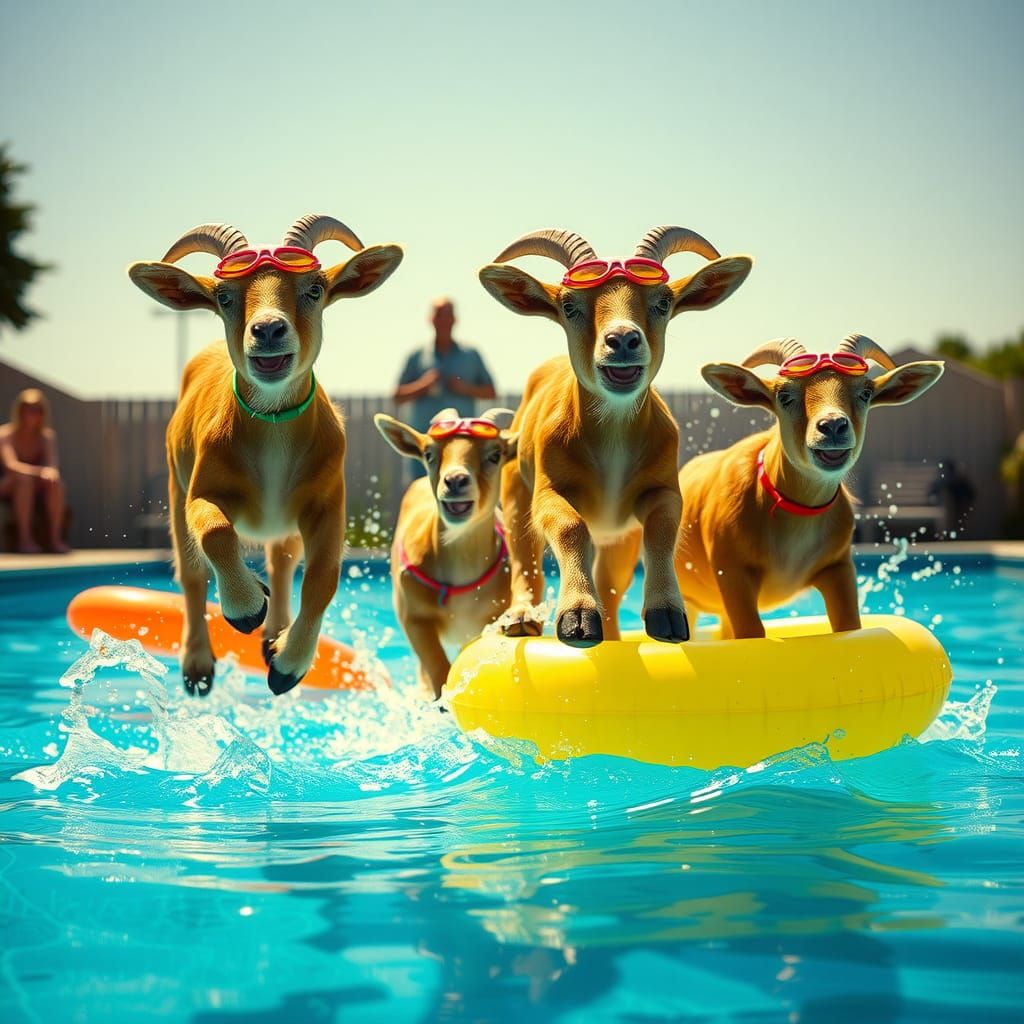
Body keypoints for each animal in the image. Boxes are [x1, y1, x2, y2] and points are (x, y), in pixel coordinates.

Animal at [128, 215, 403, 695]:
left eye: (315, 288)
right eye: (224, 296)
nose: (269, 330)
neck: (273, 426)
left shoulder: (326, 502)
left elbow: (322, 579)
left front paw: (288, 663)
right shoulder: (202, 489)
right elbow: (215, 533)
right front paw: (245, 607)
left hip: (285, 523)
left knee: (281, 562)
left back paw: (274, 630)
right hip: (175, 487)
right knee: (192, 573)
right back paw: (199, 663)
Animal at [374, 407, 517, 699]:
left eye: (495, 455)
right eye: (429, 454)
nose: (455, 480)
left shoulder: (490, 619)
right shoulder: (412, 616)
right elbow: (438, 669)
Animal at [478, 227, 752, 646]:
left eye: (663, 302)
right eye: (569, 306)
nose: (622, 338)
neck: (612, 440)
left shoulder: (660, 488)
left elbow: (661, 528)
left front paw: (666, 614)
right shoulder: (548, 489)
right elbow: (569, 528)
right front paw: (576, 617)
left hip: (618, 539)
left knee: (610, 583)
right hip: (514, 492)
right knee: (526, 561)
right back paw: (521, 618)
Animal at [675, 334, 944, 638]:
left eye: (865, 393)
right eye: (784, 396)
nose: (833, 425)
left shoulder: (838, 567)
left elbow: (849, 626)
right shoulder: (732, 571)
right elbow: (752, 632)